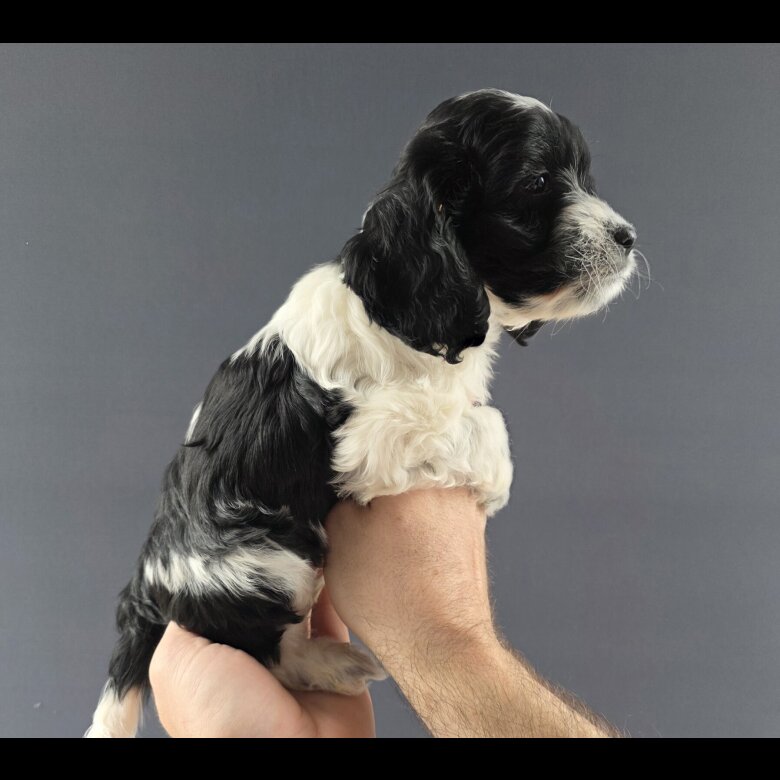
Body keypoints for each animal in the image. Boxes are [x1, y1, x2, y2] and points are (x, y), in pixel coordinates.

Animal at [86, 89, 636, 737]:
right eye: (538, 182)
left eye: (585, 178)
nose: (627, 236)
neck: (404, 313)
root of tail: (147, 584)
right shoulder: (370, 438)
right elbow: (485, 423)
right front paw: (495, 478)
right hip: (272, 564)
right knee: (270, 649)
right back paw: (333, 662)